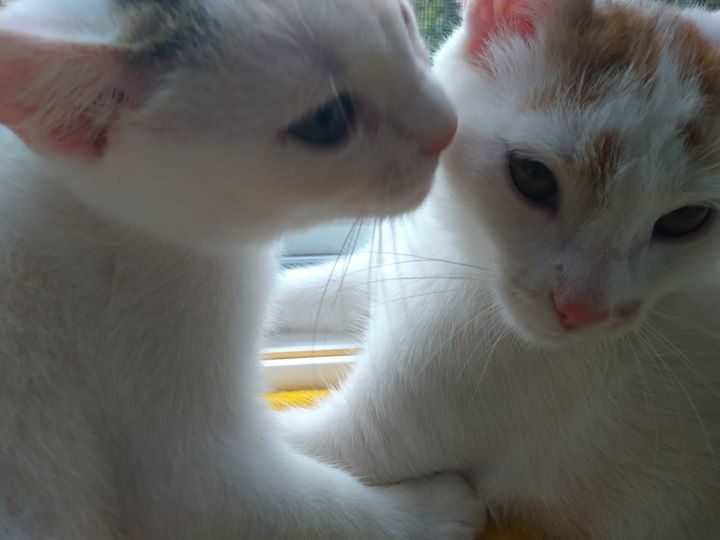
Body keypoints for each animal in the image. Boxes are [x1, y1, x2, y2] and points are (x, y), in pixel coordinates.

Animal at [0, 0, 486, 538]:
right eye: (325, 120)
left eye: (401, 18)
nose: (448, 127)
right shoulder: (180, 450)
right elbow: (317, 511)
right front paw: (434, 510)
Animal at [273, 0, 720, 538]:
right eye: (532, 175)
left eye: (686, 219)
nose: (583, 310)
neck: (470, 255)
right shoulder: (402, 263)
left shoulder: (366, 438)